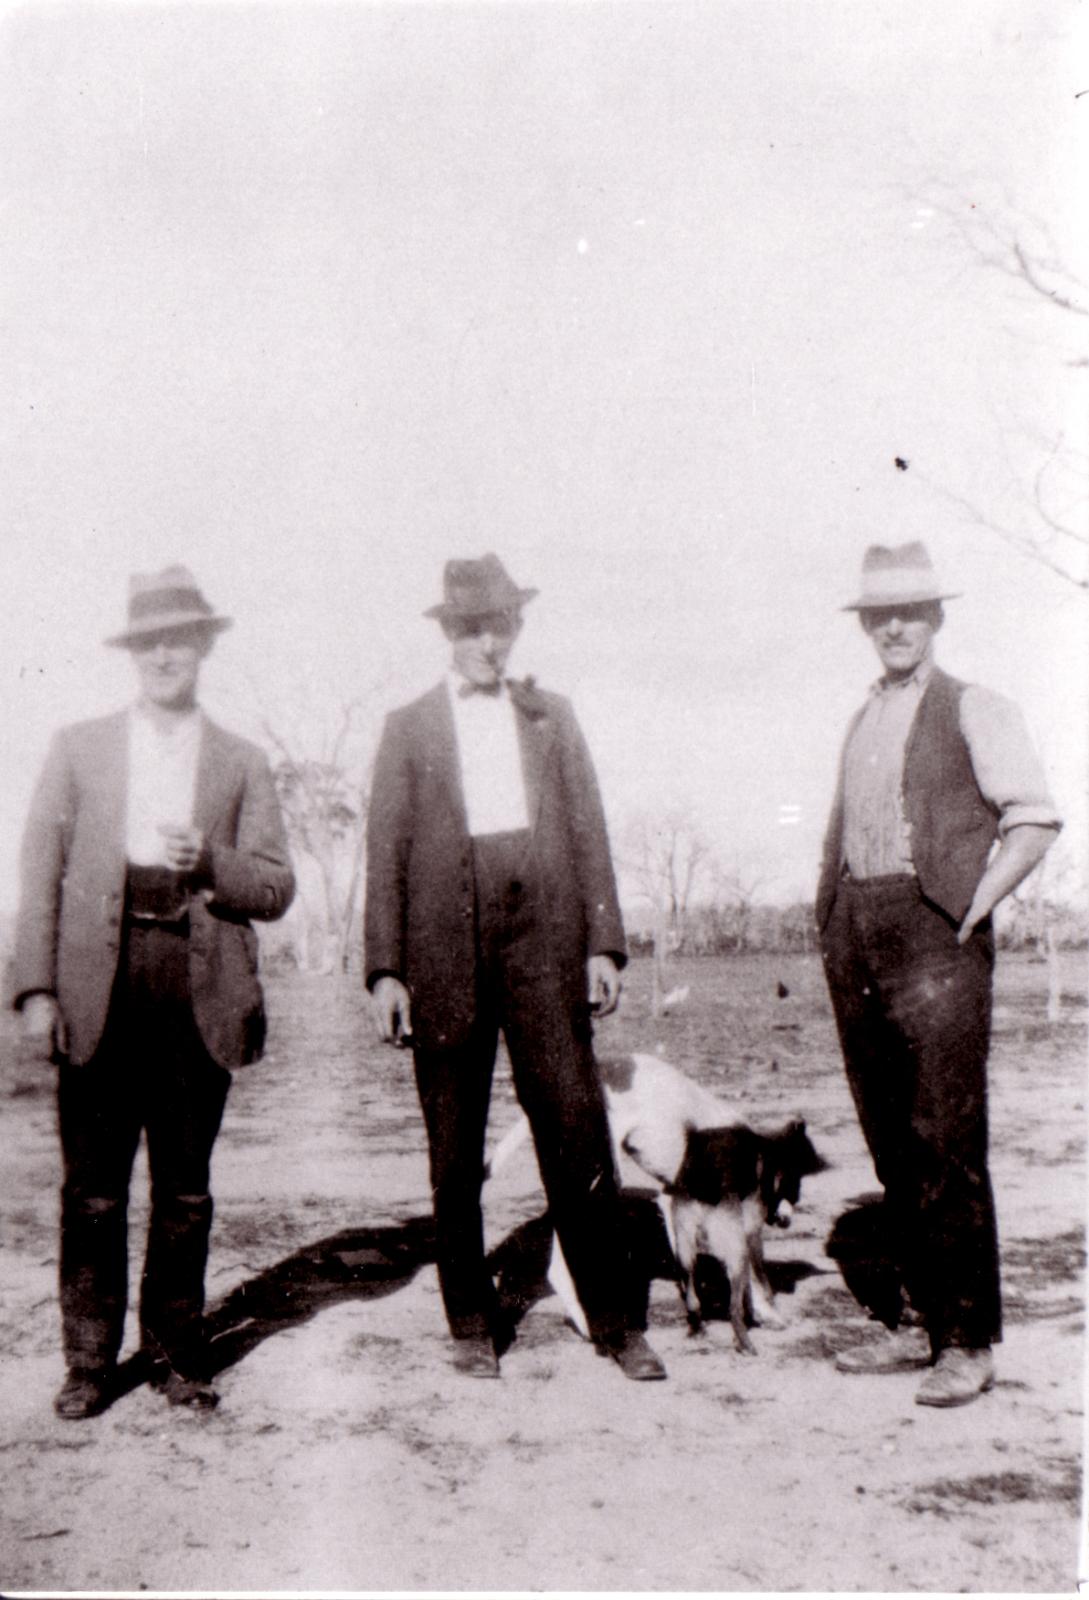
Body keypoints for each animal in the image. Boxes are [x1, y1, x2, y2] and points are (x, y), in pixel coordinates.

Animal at [486, 1056, 825, 1356]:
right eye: (793, 1183)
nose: (787, 1219)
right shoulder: (743, 1225)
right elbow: (755, 1278)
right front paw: (765, 1313)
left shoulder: (674, 1202)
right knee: (561, 1264)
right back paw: (587, 1322)